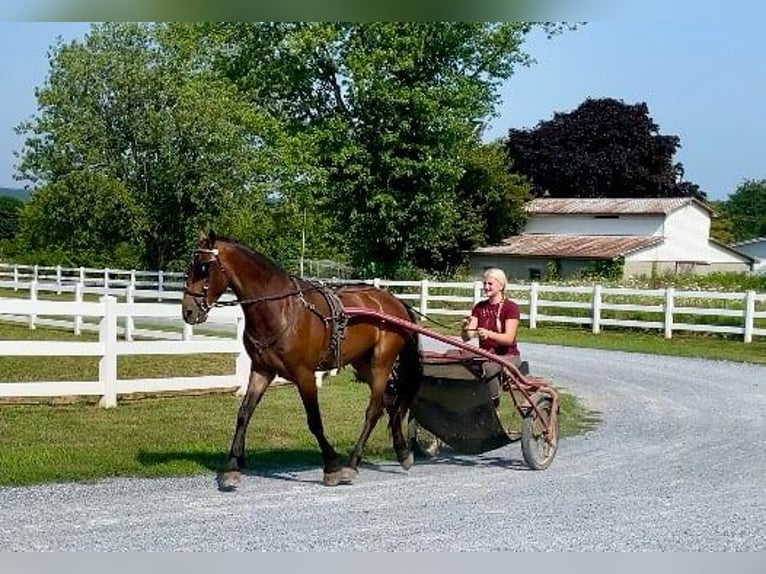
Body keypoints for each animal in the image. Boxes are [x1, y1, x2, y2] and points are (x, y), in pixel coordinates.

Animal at [181, 232, 424, 492]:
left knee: (374, 410)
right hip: (362, 363)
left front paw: (332, 466)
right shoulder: (261, 370)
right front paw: (232, 467)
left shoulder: (304, 374)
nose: (187, 311)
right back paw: (402, 452)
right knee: (389, 400)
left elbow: (314, 421)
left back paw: (352, 464)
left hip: (381, 362)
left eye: (203, 268)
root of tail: (395, 302)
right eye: (189, 267)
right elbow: (244, 414)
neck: (280, 309)